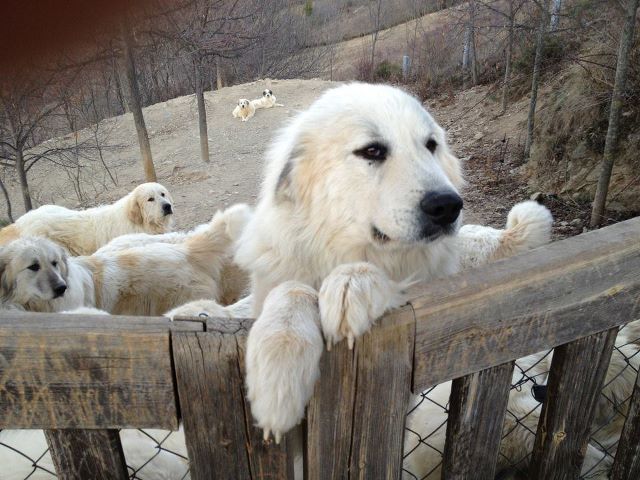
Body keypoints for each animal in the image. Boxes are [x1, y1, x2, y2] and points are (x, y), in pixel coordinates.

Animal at [231, 81, 556, 442]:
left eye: (431, 145)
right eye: (372, 151)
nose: (448, 206)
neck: (337, 252)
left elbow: (377, 274)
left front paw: (350, 284)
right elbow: (291, 290)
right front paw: (279, 372)